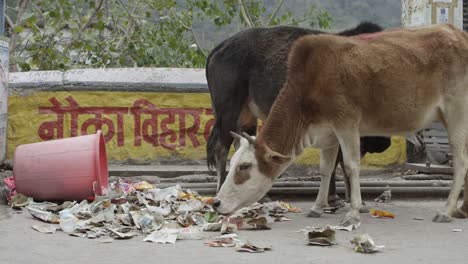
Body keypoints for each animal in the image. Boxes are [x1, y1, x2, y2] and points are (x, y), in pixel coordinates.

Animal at [214, 23, 468, 224]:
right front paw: (318, 207)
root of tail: (460, 35)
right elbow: (326, 169)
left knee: (460, 162)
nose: (216, 203)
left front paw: (354, 211)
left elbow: (350, 166)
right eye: (235, 163)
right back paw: (462, 209)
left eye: (244, 167)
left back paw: (447, 211)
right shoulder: (329, 135)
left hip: (456, 113)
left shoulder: (347, 124)